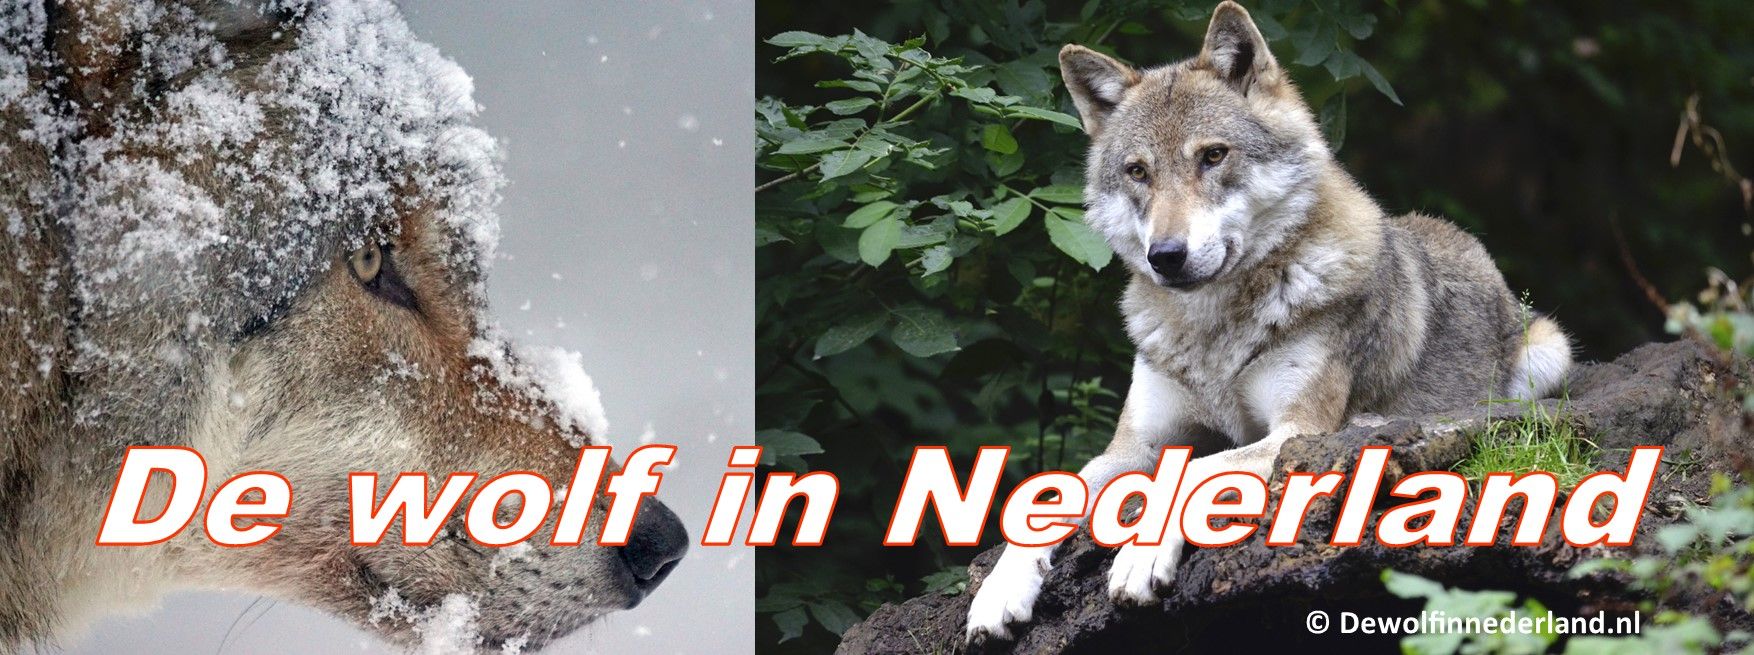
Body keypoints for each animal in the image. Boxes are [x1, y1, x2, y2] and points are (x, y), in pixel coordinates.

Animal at [965, 0, 1572, 642]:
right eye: (1137, 172)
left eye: (1213, 155)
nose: (1166, 256)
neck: (1213, 333)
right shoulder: (1134, 444)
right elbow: (1050, 495)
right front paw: (998, 593)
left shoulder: (1293, 432)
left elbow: (1194, 472)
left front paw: (1140, 555)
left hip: (1547, 355)